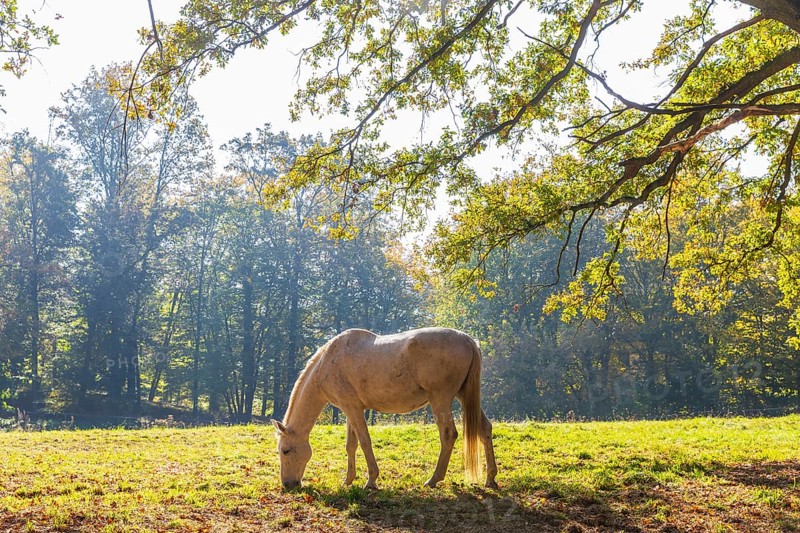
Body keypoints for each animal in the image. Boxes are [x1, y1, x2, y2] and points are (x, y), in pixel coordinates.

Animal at [271, 327, 498, 490]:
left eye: (285, 450)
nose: (288, 485)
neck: (327, 363)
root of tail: (467, 340)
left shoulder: (353, 410)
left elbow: (364, 442)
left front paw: (371, 481)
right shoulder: (350, 409)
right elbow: (351, 445)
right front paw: (348, 480)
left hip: (440, 399)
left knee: (448, 434)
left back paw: (433, 479)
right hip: (464, 396)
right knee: (485, 430)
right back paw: (491, 478)